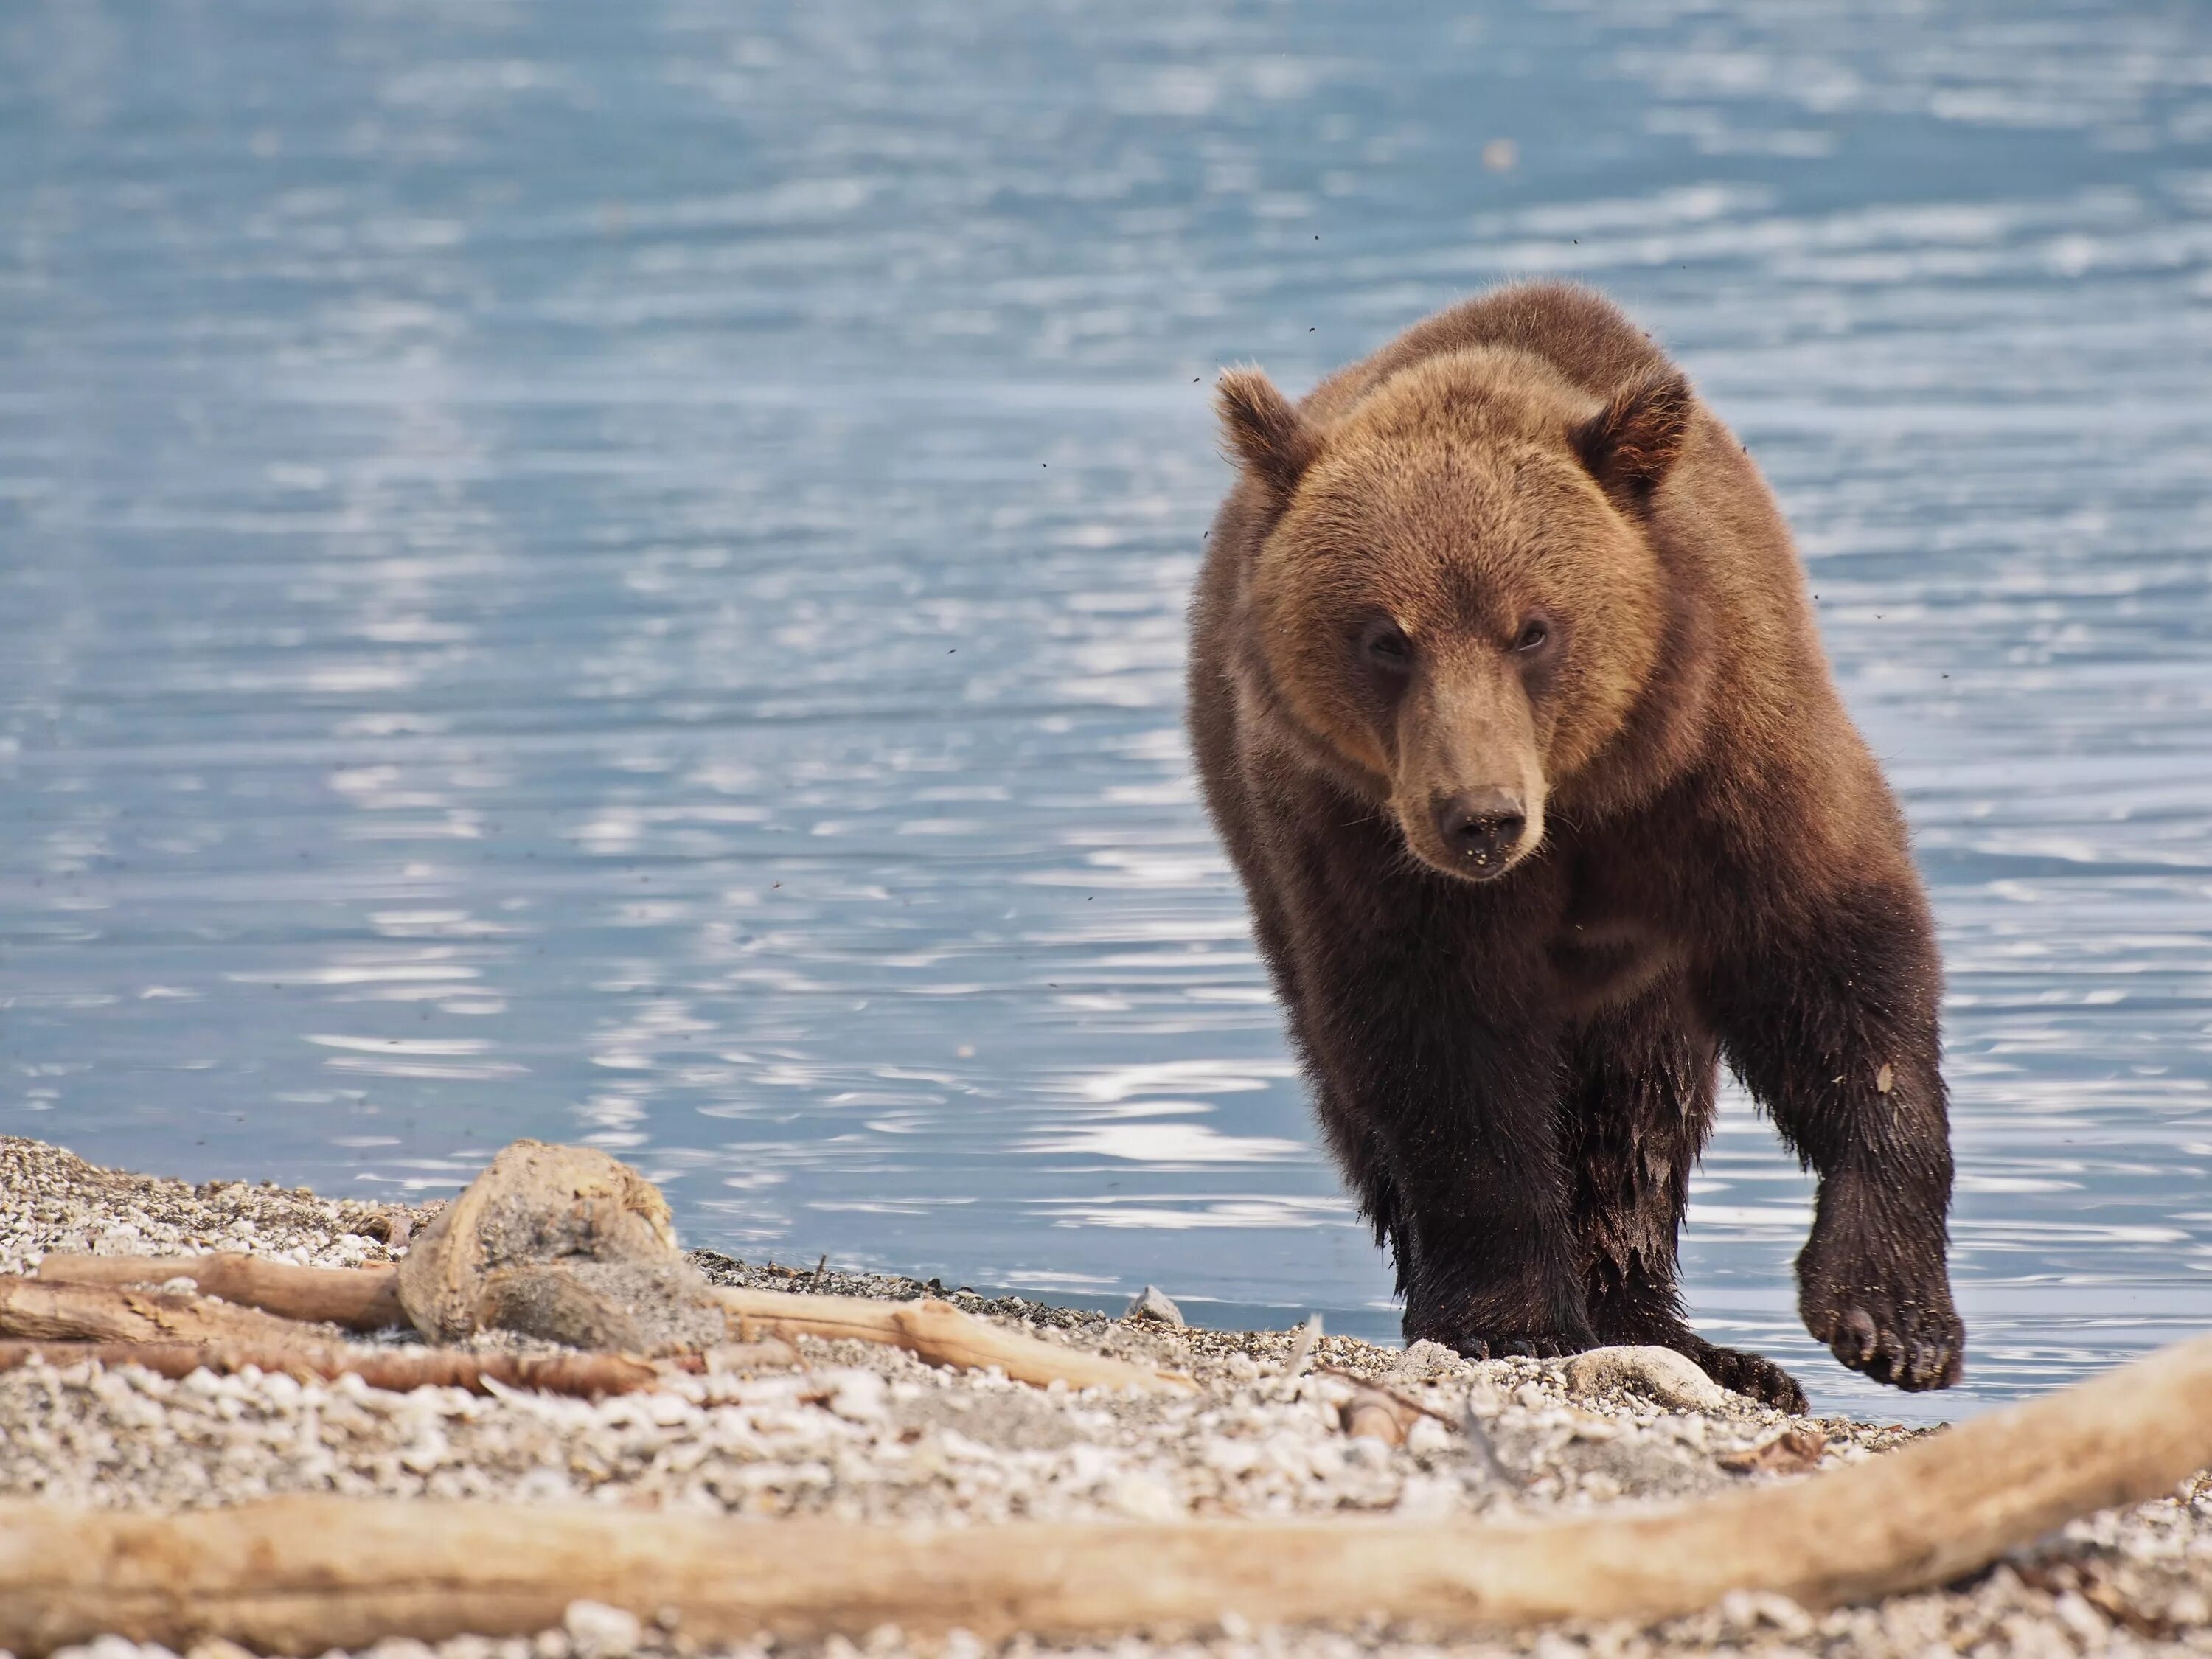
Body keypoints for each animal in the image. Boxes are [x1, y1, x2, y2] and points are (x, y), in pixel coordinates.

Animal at [1203, 279, 1964, 1407]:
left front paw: (1891, 1319)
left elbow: (1836, 964)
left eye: (1533, 628)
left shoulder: (1725, 763)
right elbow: (1446, 1052)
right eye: (1385, 637)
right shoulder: (1368, 848)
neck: (1587, 789)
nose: (1480, 815)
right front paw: (1508, 1318)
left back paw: (1687, 1336)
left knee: (1636, 1113)